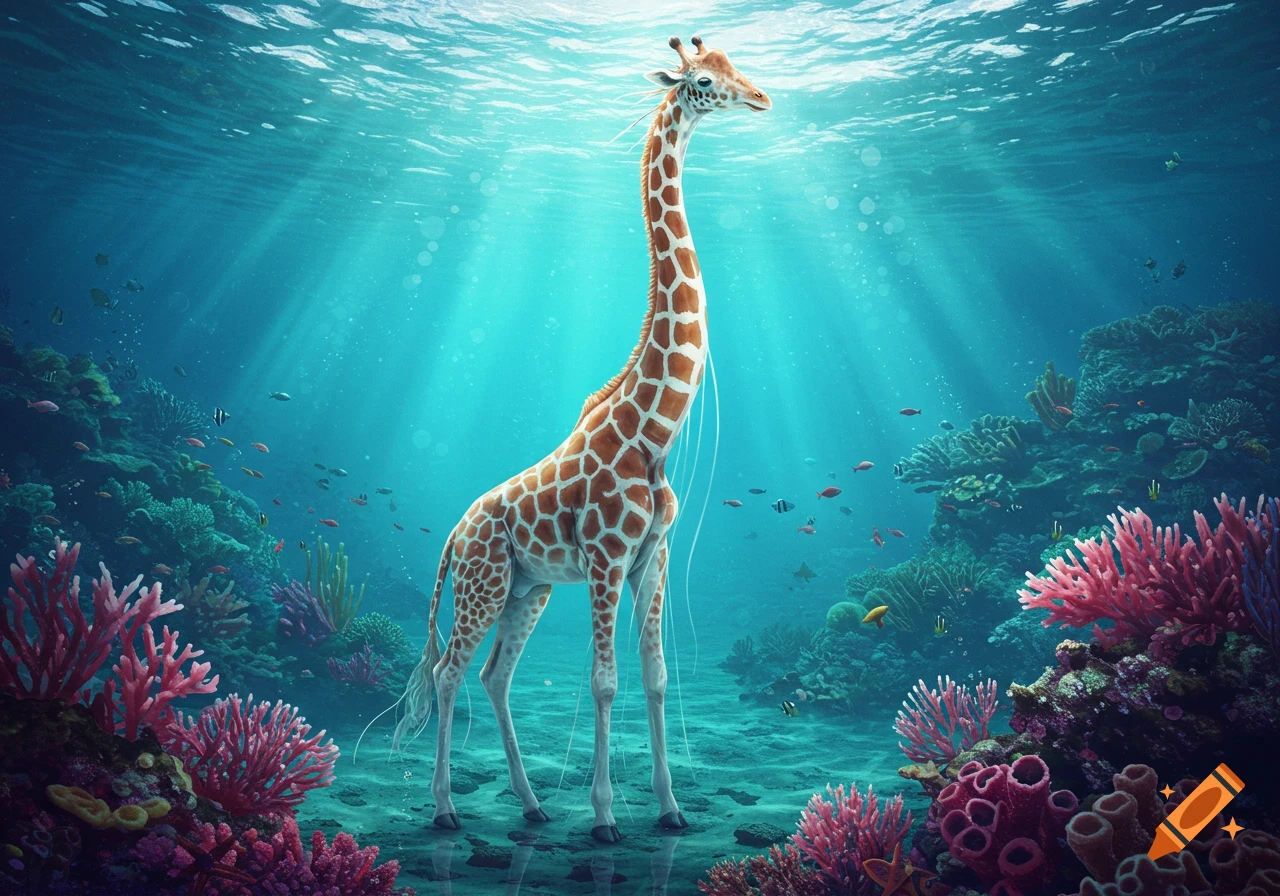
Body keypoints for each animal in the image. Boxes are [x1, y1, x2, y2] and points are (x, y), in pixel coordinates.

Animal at [392, 35, 770, 844]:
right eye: (702, 82)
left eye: (734, 67)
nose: (761, 98)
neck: (653, 429)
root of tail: (451, 536)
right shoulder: (604, 557)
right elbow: (603, 683)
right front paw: (603, 817)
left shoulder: (652, 557)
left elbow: (656, 679)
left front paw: (670, 809)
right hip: (483, 584)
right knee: (446, 672)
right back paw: (444, 809)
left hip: (525, 588)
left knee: (494, 674)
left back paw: (533, 803)